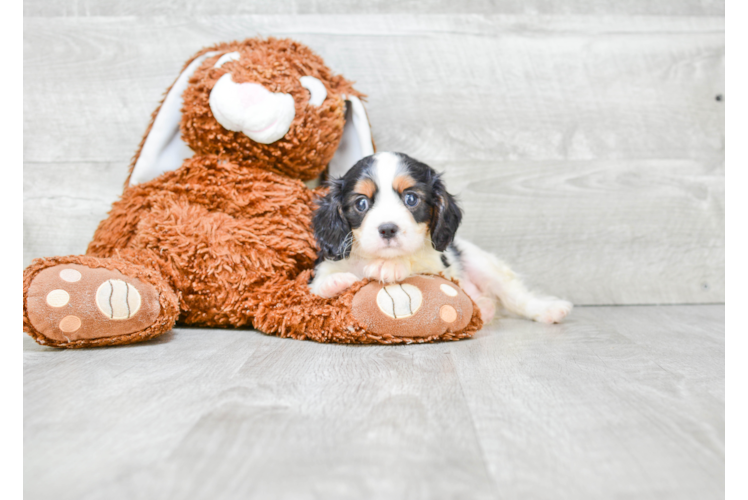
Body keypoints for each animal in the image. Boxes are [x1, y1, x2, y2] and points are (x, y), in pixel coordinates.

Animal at [310, 151, 572, 324]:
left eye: (411, 199)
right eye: (361, 203)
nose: (387, 229)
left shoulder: (438, 267)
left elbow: (416, 263)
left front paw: (391, 266)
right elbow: (317, 287)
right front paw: (335, 282)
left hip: (482, 263)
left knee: (516, 297)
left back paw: (549, 310)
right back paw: (484, 307)